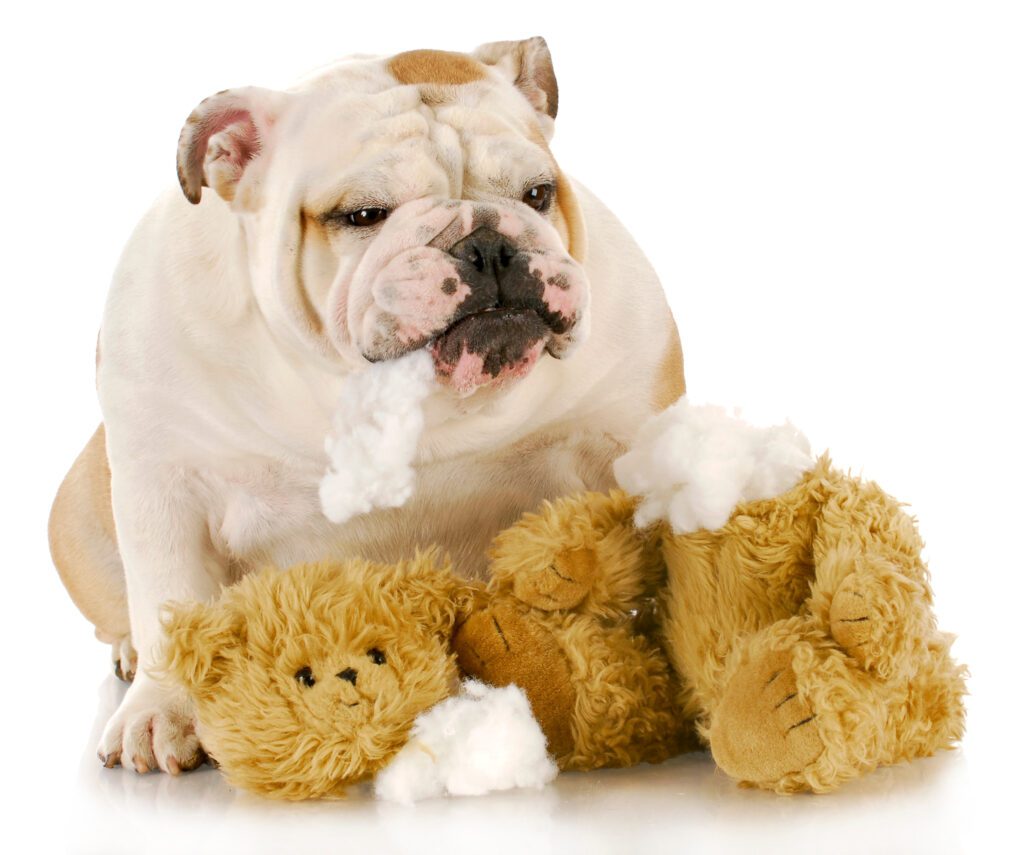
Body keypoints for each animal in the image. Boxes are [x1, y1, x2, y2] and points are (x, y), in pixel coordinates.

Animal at [49, 38, 688, 774]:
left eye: (538, 193)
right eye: (362, 215)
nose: (488, 243)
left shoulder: (628, 426)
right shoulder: (164, 476)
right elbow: (168, 597)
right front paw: (163, 710)